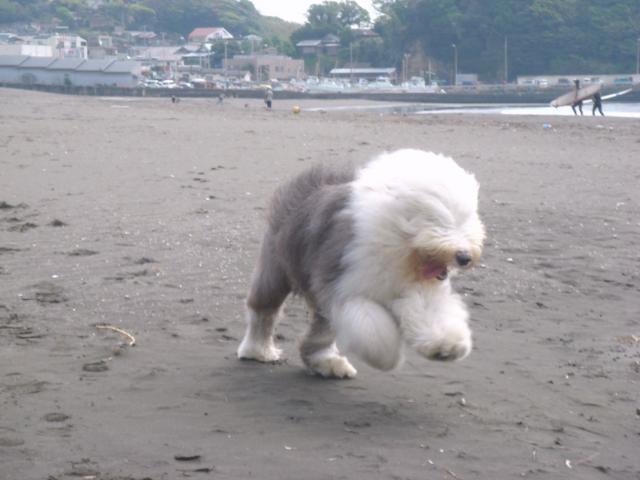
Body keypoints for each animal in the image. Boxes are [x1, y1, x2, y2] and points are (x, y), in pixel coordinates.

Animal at [237, 149, 485, 378]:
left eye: (466, 219)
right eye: (437, 219)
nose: (464, 257)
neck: (396, 243)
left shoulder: (419, 287)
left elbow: (431, 311)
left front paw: (446, 346)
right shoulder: (343, 286)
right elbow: (371, 326)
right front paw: (388, 357)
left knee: (321, 332)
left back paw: (327, 363)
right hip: (276, 267)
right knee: (264, 309)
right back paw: (258, 351)